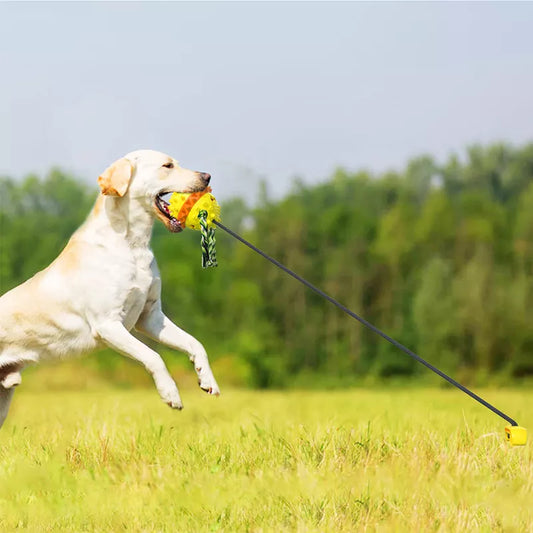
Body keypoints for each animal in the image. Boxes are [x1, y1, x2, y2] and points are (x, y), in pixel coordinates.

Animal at [0, 150, 219, 428]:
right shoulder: (109, 324)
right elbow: (154, 357)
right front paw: (170, 394)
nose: (207, 176)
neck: (133, 244)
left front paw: (207, 379)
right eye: (167, 165)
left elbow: (195, 343)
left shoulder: (151, 317)